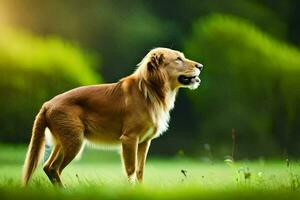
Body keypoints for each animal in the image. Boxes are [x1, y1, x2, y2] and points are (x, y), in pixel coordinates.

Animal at [22, 47, 203, 186]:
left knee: (48, 167)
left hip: (64, 142)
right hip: (75, 141)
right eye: (178, 59)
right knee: (54, 168)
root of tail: (47, 104)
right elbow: (131, 170)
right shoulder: (129, 139)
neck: (150, 90)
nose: (201, 66)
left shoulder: (144, 142)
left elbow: (140, 171)